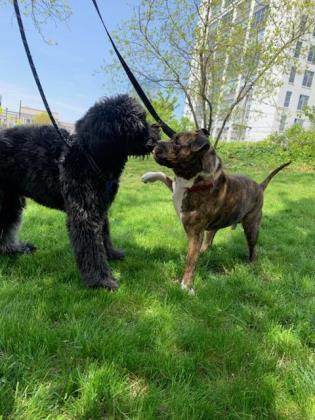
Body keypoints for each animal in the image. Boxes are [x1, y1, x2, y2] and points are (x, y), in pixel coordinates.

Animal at [0, 95, 160, 290]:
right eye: (139, 120)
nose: (158, 127)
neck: (90, 155)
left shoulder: (100, 207)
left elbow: (104, 235)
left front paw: (111, 254)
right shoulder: (85, 213)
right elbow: (91, 246)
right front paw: (101, 280)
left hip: (10, 201)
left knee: (7, 226)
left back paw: (14, 250)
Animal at [143, 130, 292, 294]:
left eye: (176, 142)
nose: (156, 142)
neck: (195, 179)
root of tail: (259, 186)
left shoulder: (195, 233)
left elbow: (191, 261)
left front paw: (186, 285)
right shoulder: (177, 189)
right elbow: (165, 176)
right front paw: (148, 176)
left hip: (251, 227)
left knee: (253, 248)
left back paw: (251, 264)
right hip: (214, 228)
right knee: (209, 242)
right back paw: (204, 251)